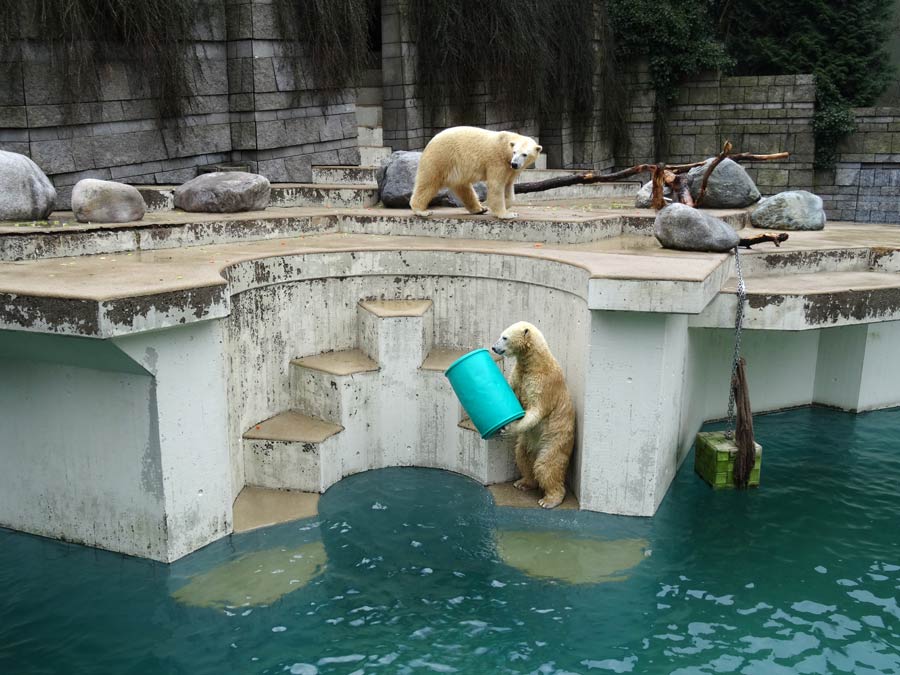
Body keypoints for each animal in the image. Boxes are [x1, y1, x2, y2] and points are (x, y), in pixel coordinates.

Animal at [410, 125, 540, 220]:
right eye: (514, 152)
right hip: (440, 158)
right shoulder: (497, 162)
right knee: (428, 182)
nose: (515, 164)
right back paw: (421, 211)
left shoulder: (509, 169)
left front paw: (507, 205)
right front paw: (506, 214)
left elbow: (508, 186)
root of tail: (430, 141)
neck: (504, 144)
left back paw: (480, 209)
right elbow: (496, 185)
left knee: (463, 187)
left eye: (524, 154)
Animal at [492, 322, 576, 508]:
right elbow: (512, 390)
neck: (535, 362)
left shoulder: (543, 383)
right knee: (523, 456)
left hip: (555, 440)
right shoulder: (520, 374)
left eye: (504, 337)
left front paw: (508, 428)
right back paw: (524, 482)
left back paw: (550, 499)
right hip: (529, 442)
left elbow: (536, 410)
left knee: (547, 465)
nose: (494, 347)